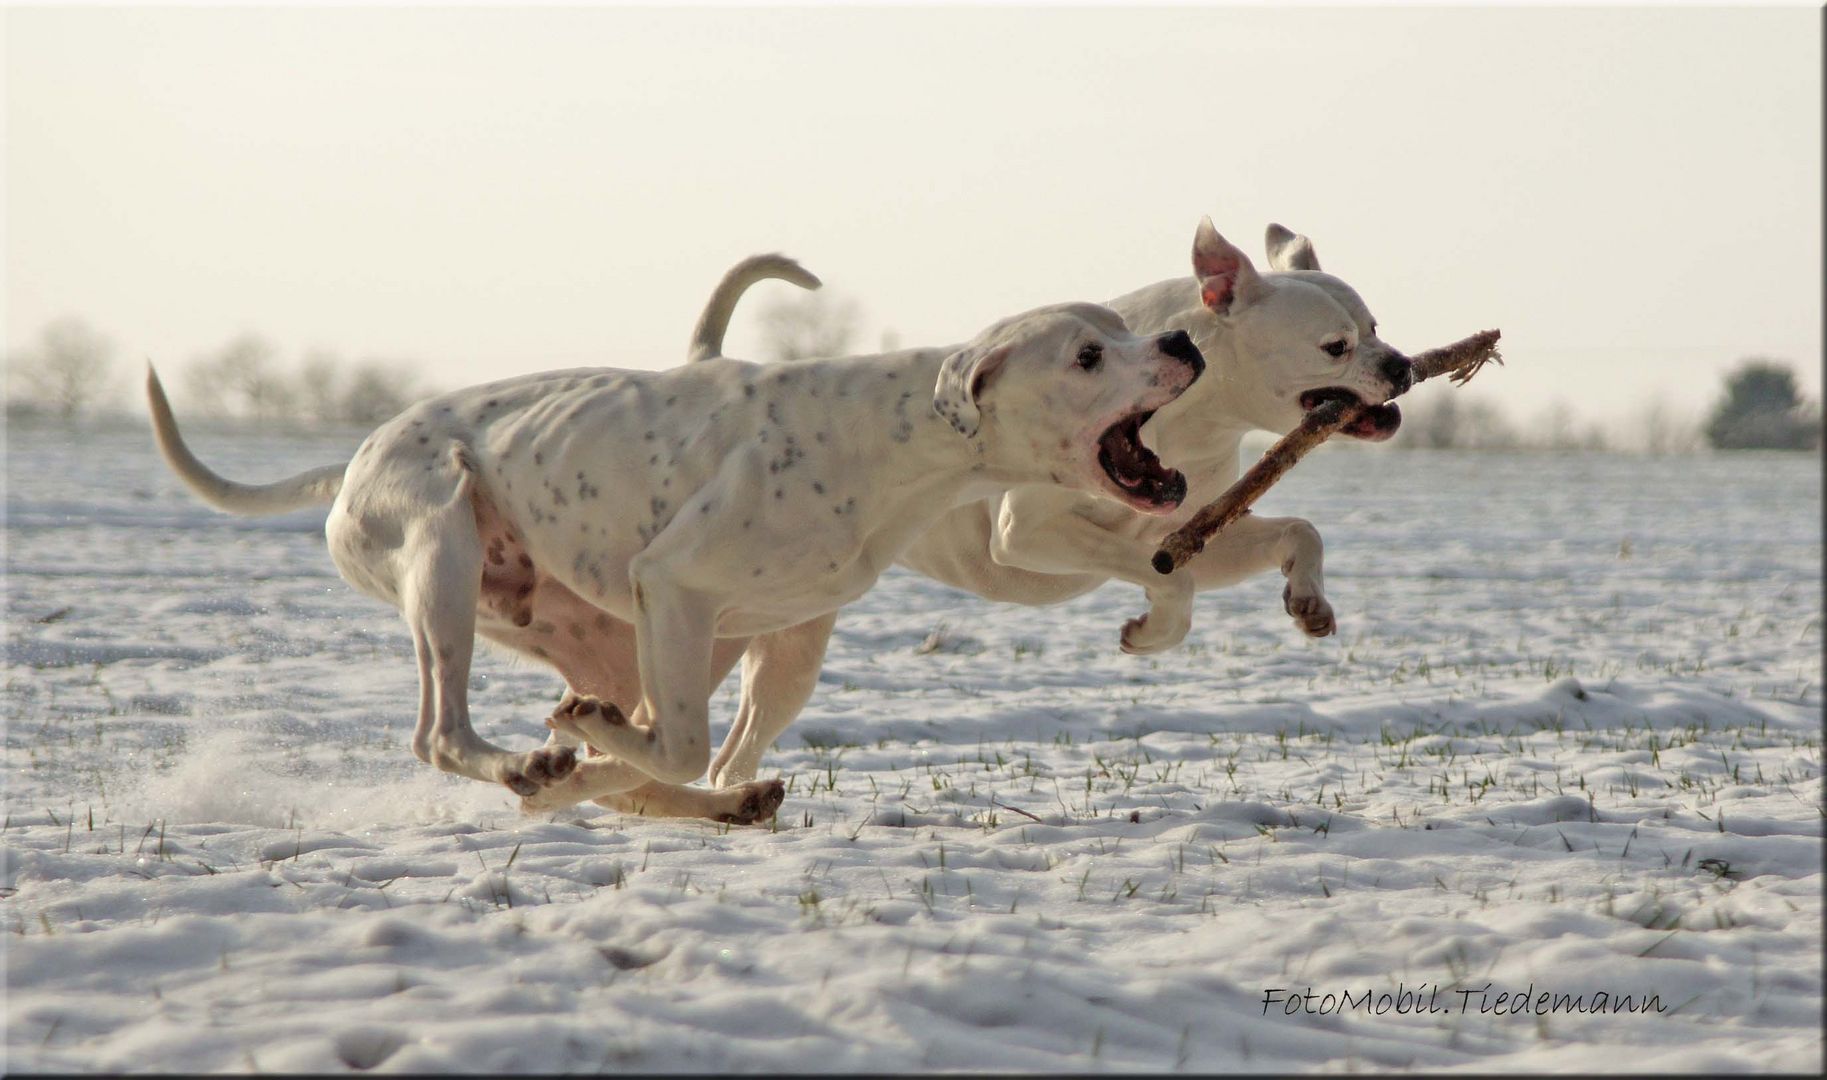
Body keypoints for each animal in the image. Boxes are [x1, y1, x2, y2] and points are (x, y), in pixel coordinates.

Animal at [149, 296, 1205, 818]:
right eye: (1085, 356)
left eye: (1121, 329)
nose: (1183, 336)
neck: (894, 439)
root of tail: (356, 455)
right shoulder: (676, 585)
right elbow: (684, 743)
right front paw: (583, 749)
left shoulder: (717, 624)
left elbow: (673, 750)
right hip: (442, 552)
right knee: (439, 735)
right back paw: (532, 763)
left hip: (627, 635)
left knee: (622, 763)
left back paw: (601, 777)